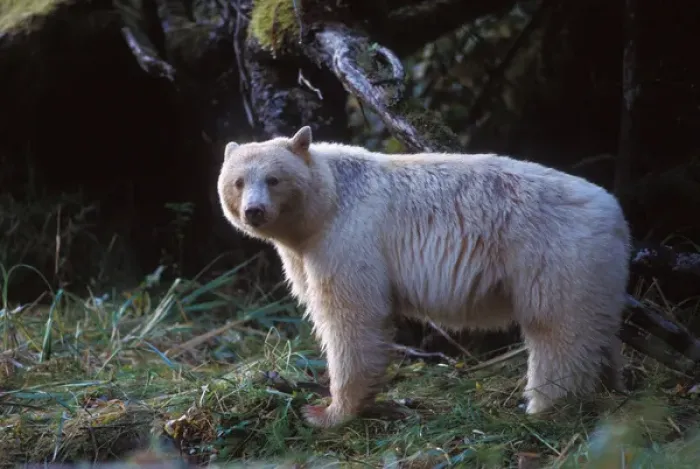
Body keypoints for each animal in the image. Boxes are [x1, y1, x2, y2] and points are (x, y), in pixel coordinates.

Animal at [216, 126, 631, 429]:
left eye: (273, 179)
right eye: (238, 181)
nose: (254, 211)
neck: (328, 201)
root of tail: (616, 215)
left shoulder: (349, 237)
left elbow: (352, 314)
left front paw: (328, 412)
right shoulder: (305, 250)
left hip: (555, 253)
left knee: (558, 329)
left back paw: (545, 406)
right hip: (597, 270)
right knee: (597, 329)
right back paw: (612, 385)